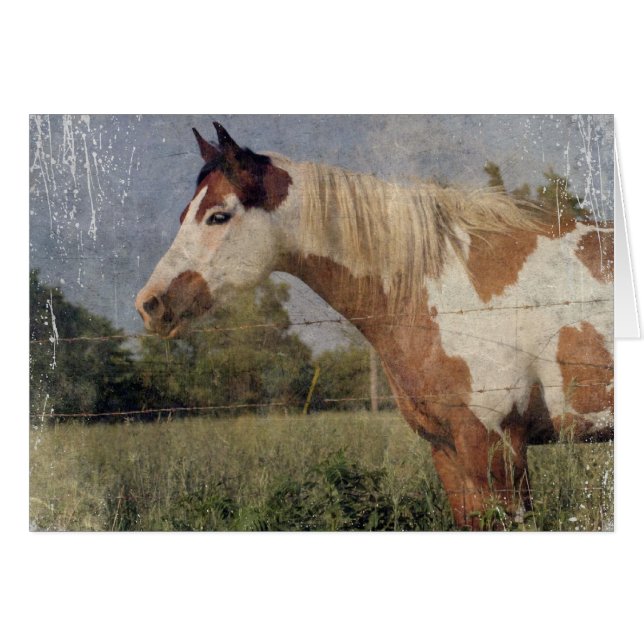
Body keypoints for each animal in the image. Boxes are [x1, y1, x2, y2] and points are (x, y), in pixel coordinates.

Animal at [136, 122, 614, 529]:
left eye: (218, 215)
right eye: (184, 214)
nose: (150, 304)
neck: (443, 283)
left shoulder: (496, 445)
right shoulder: (448, 450)